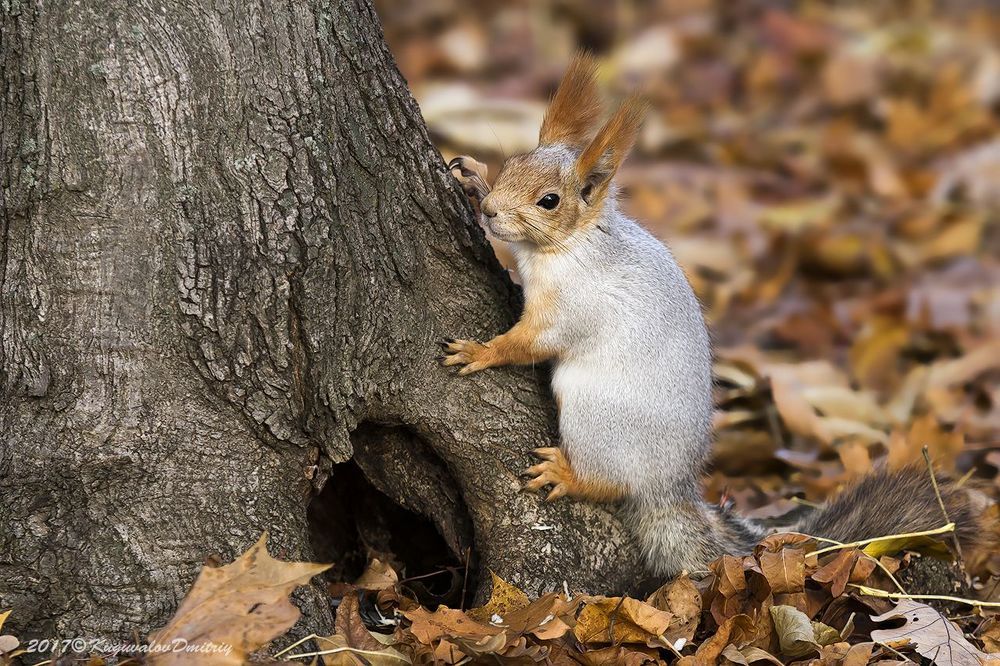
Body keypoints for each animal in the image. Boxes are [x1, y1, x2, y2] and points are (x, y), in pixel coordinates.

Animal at [441, 54, 978, 577]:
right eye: (512, 164)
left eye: (549, 201)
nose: (491, 212)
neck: (570, 244)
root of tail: (670, 487)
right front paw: (474, 177)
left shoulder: (574, 304)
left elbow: (533, 340)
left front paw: (482, 351)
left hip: (597, 417)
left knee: (611, 481)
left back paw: (570, 474)